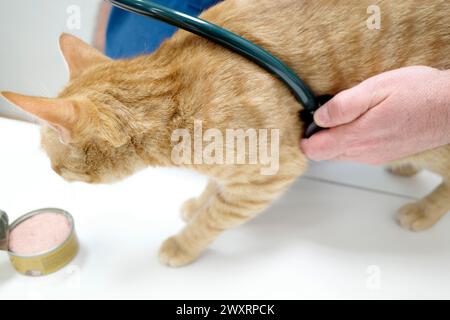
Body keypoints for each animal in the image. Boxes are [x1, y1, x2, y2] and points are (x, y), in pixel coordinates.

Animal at [1, 0, 448, 268]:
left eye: (54, 162)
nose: (53, 175)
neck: (172, 94)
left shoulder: (273, 172)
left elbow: (216, 215)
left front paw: (183, 243)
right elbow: (214, 190)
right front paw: (198, 201)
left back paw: (422, 208)